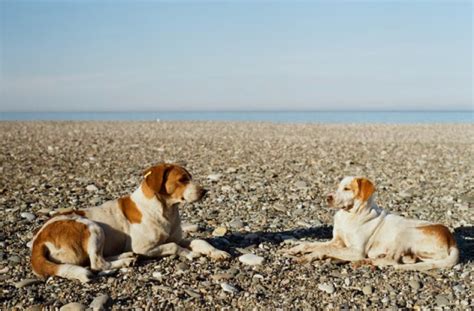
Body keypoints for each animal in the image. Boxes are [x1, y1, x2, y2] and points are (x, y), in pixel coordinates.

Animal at [30, 165, 231, 284]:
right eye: (182, 180)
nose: (205, 191)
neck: (165, 211)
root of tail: (38, 240)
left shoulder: (178, 237)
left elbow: (199, 241)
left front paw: (216, 252)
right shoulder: (144, 247)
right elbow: (173, 246)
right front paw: (189, 254)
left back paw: (127, 256)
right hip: (93, 227)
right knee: (97, 263)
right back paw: (126, 260)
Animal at [284, 178, 458, 270]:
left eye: (347, 188)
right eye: (338, 186)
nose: (328, 198)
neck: (349, 216)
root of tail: (451, 238)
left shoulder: (356, 250)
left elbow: (322, 248)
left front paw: (310, 256)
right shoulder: (337, 241)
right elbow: (311, 244)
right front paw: (296, 248)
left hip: (405, 233)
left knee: (392, 261)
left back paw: (363, 261)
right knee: (407, 260)